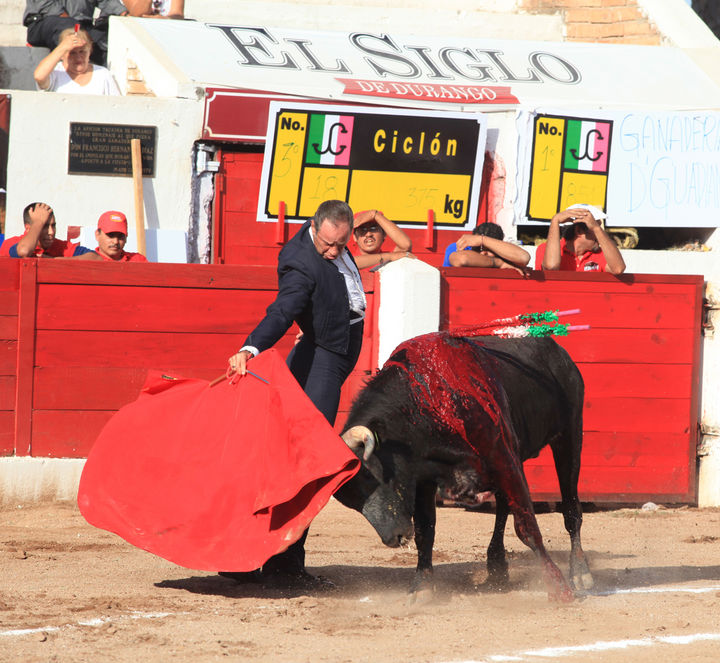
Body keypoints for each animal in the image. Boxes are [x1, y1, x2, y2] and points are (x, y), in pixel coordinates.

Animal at [334, 332, 592, 600]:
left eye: (370, 477)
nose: (394, 538)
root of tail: (557, 350)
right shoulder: (423, 478)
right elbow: (425, 531)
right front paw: (422, 587)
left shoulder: (503, 458)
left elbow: (527, 526)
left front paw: (558, 587)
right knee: (503, 505)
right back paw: (496, 565)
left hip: (569, 436)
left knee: (570, 508)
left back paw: (579, 572)